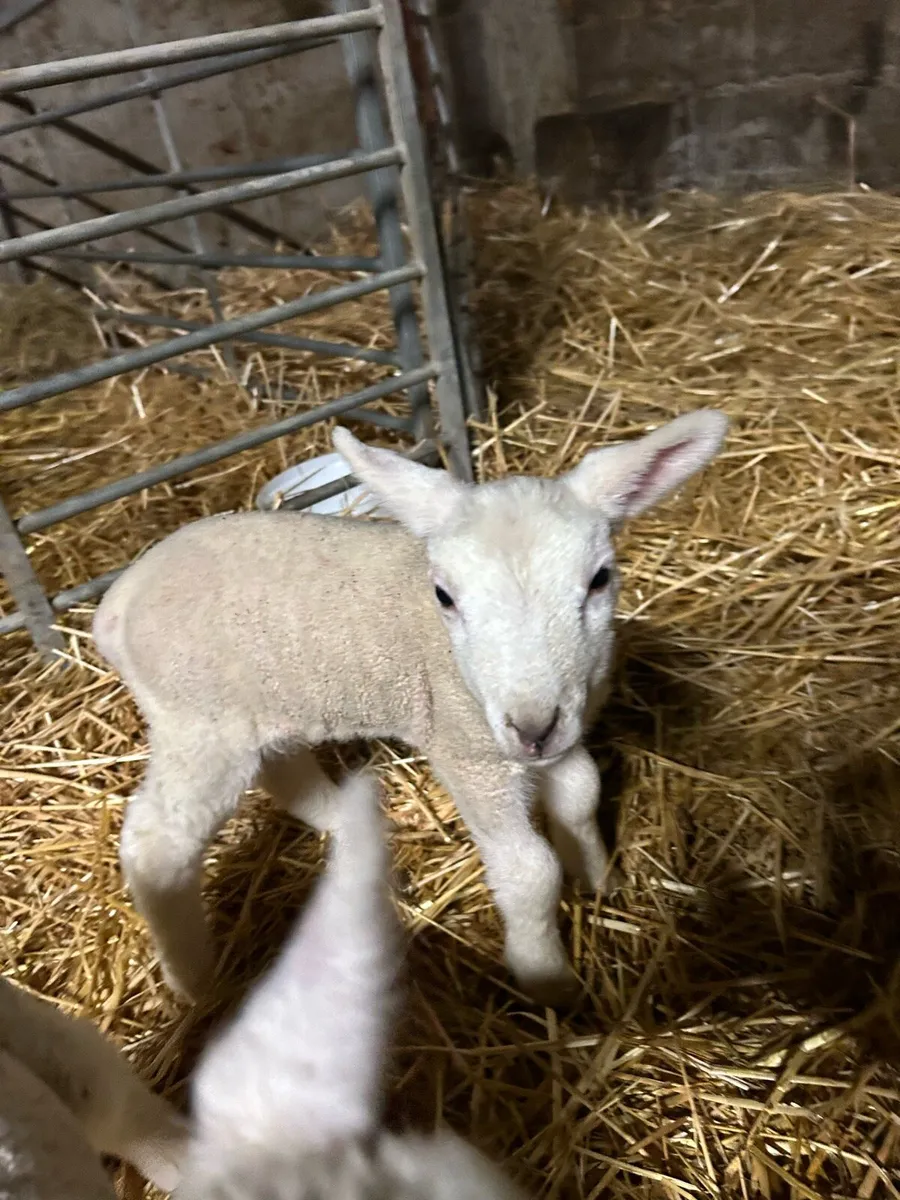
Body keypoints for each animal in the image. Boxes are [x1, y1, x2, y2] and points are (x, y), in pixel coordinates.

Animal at [93, 407, 729, 1007]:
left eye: (600, 580)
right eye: (444, 596)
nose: (532, 728)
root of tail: (118, 603)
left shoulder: (560, 731)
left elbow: (582, 795)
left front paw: (599, 878)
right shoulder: (469, 749)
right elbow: (529, 870)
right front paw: (547, 978)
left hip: (261, 702)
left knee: (285, 772)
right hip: (198, 720)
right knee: (156, 842)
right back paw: (194, 983)